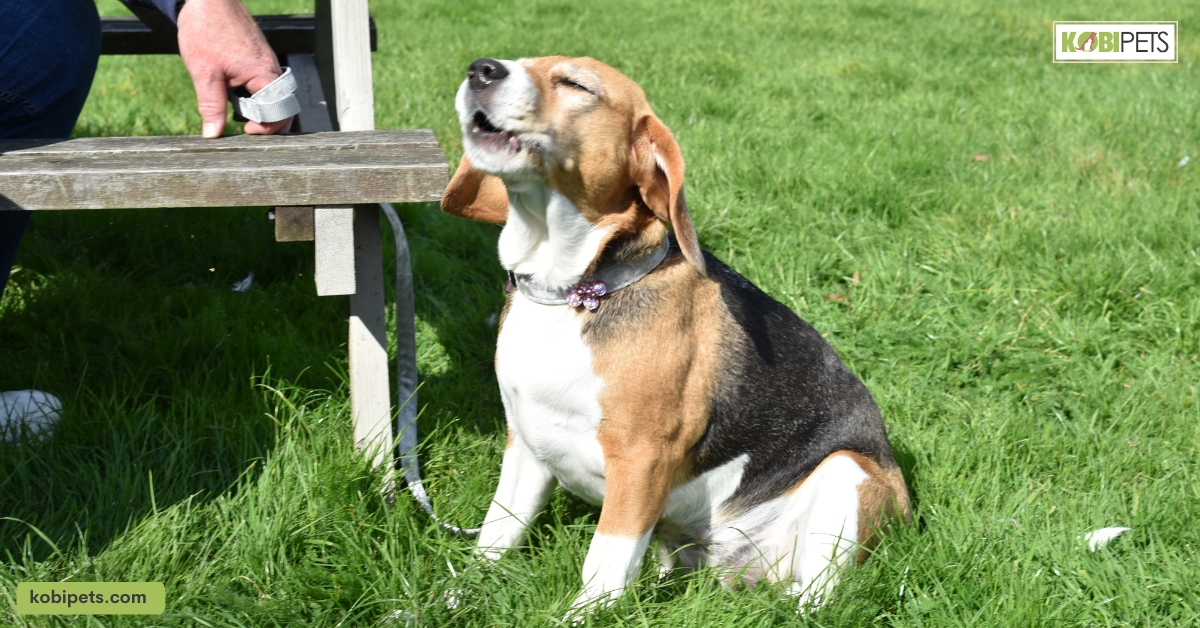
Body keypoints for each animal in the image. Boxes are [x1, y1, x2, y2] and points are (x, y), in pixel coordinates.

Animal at [444, 55, 907, 614]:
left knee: (813, 598)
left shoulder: (641, 460)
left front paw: (578, 617)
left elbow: (603, 567)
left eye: (575, 84)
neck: (572, 290)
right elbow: (495, 538)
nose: (481, 70)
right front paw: (453, 599)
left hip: (846, 472)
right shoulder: (526, 446)